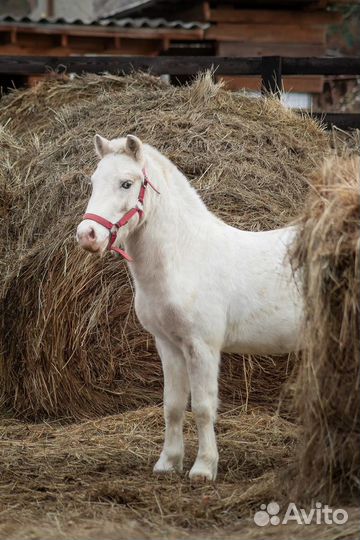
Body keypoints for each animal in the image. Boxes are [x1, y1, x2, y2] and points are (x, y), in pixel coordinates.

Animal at [77, 135, 302, 480]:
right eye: (93, 181)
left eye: (127, 183)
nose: (87, 235)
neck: (185, 255)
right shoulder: (168, 344)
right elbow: (173, 405)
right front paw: (168, 462)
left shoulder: (202, 346)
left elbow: (203, 407)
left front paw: (204, 468)